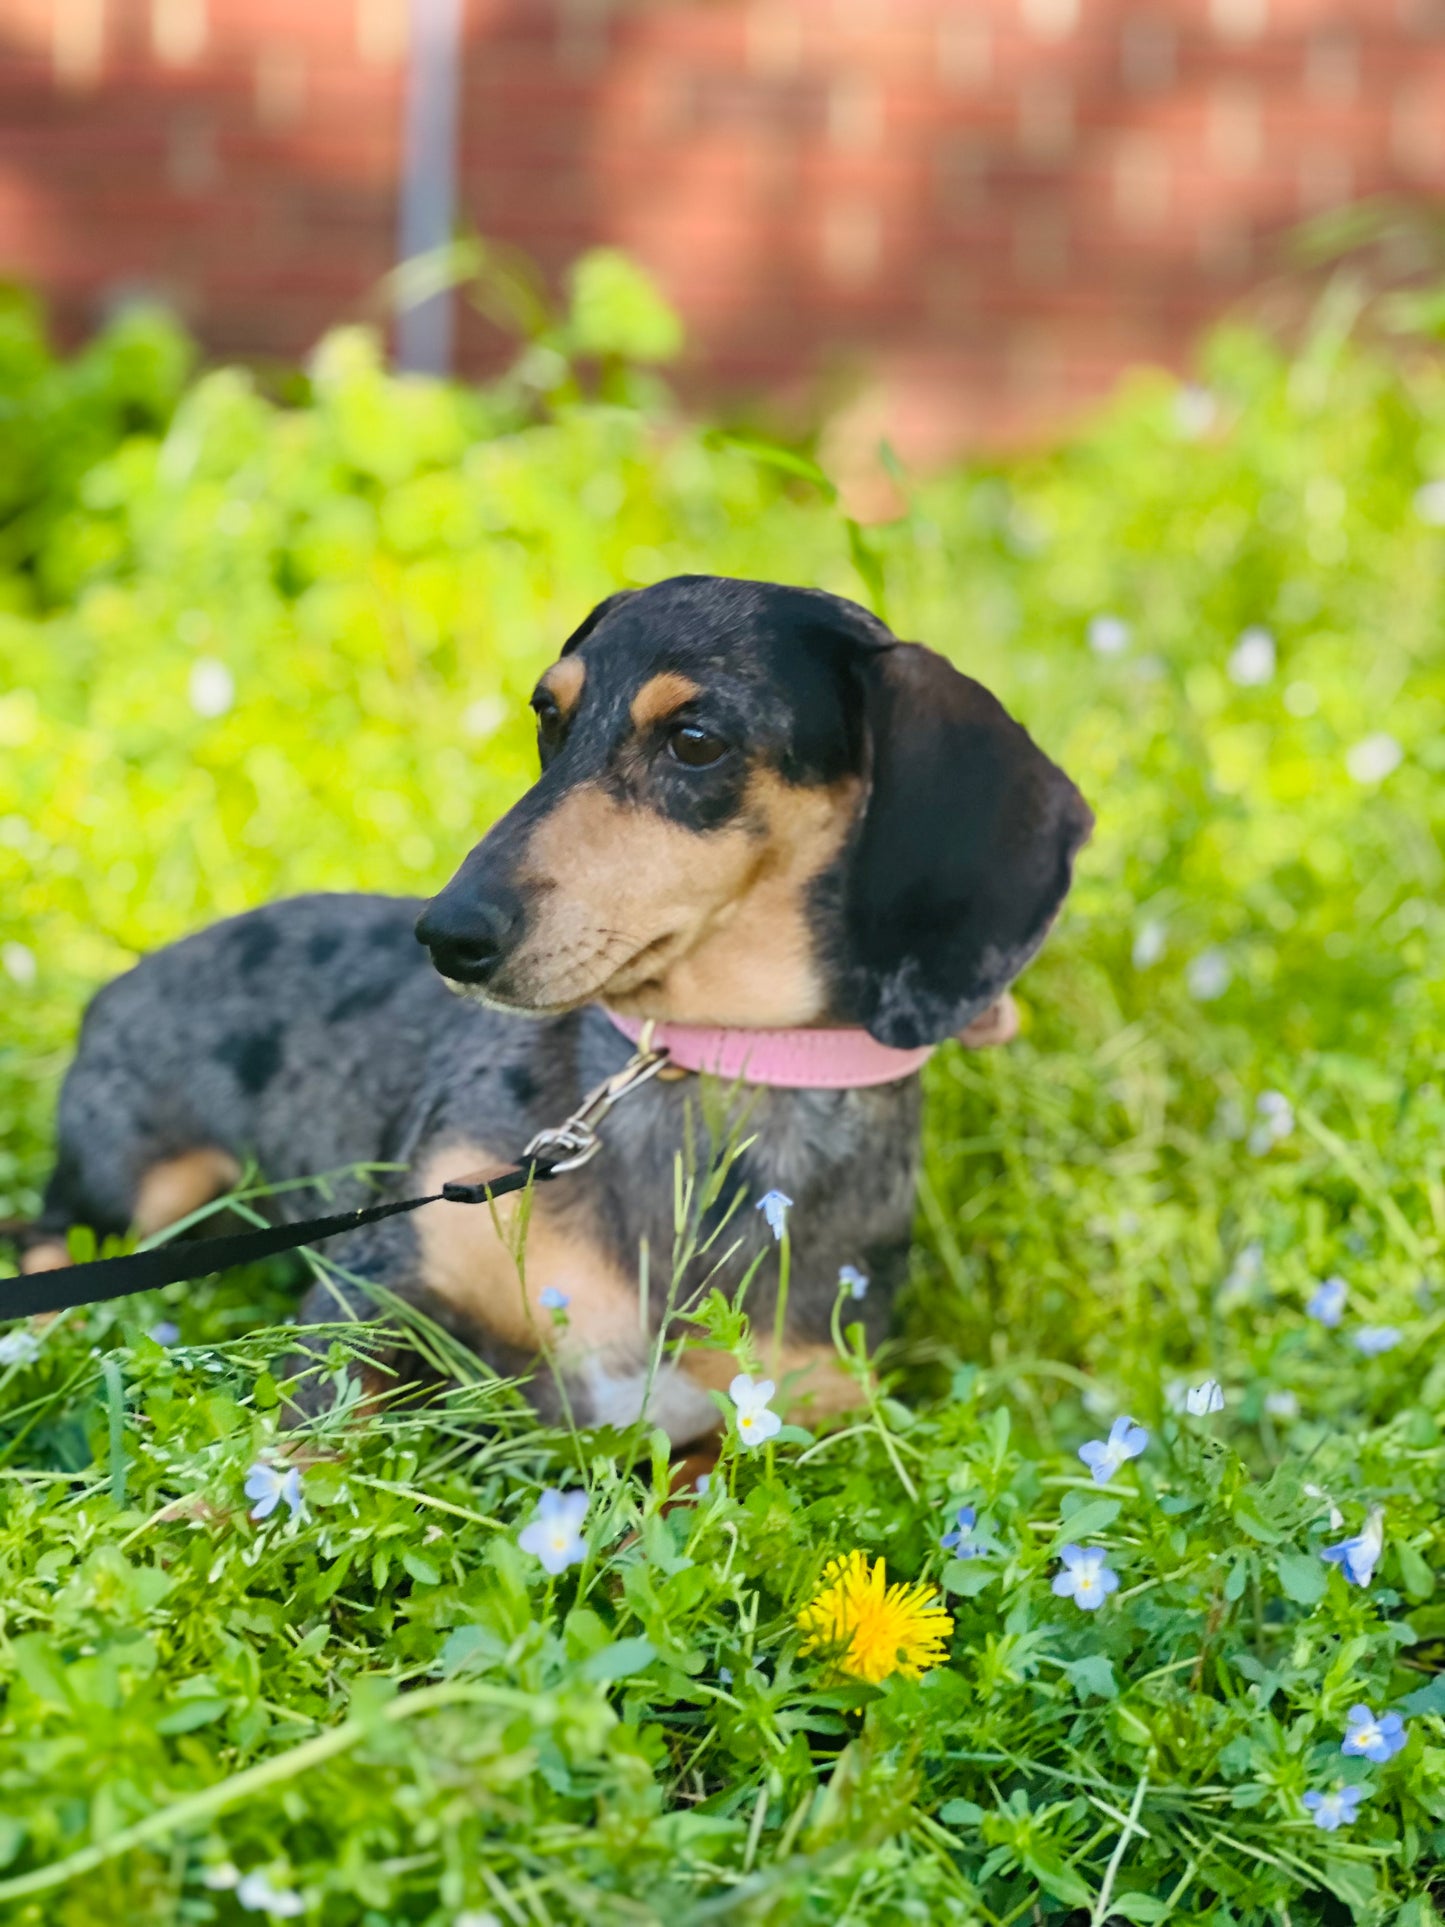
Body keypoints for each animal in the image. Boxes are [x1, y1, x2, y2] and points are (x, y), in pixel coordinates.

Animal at [11, 578, 1086, 1441]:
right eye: (548, 715)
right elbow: (293, 1449)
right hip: (139, 1187)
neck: (707, 1068)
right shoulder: (380, 1284)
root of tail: (116, 980)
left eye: (694, 740)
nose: (447, 934)